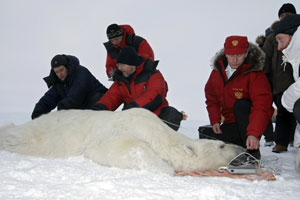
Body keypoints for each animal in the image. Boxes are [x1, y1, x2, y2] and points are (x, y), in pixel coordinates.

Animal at [0, 108, 244, 175]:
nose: (241, 148)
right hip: (34, 136)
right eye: (222, 145)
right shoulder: (123, 129)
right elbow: (122, 147)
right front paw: (166, 168)